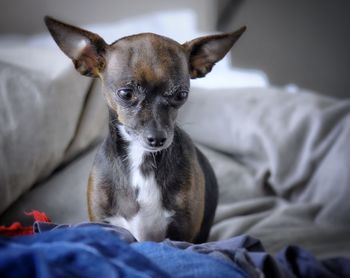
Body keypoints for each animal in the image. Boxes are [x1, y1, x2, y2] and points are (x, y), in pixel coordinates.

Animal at [45, 16, 245, 243]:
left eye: (181, 95)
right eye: (125, 93)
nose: (157, 138)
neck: (141, 159)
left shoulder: (182, 235)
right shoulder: (102, 223)